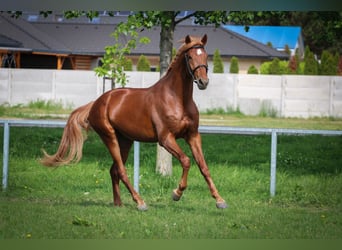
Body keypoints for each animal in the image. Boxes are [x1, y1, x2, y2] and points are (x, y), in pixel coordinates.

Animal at [42, 34, 227, 210]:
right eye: (189, 56)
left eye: (205, 55)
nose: (203, 82)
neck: (177, 99)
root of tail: (96, 102)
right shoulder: (165, 138)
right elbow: (186, 161)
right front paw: (177, 193)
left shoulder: (193, 136)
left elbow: (203, 166)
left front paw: (220, 200)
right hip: (109, 137)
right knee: (121, 170)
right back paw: (140, 202)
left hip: (125, 141)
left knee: (114, 170)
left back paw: (119, 203)